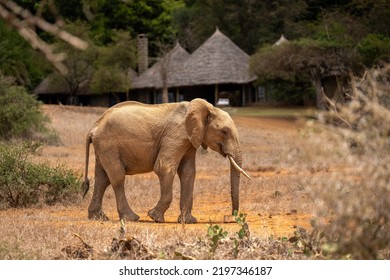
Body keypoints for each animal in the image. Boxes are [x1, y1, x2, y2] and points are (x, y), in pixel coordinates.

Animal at [82, 98, 250, 223]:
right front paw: (155, 217)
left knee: (102, 178)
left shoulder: (190, 141)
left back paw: (98, 217)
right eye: (224, 131)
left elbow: (188, 172)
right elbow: (164, 168)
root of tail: (94, 127)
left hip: (103, 147)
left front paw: (188, 221)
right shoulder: (176, 135)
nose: (229, 217)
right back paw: (132, 218)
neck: (206, 108)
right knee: (117, 177)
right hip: (108, 145)